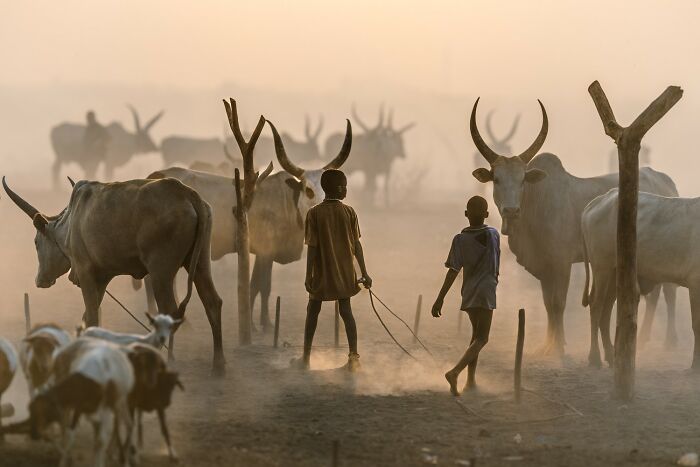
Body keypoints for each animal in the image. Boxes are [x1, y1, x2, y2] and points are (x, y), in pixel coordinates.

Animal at [29, 337, 135, 467]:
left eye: (43, 412)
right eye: (31, 410)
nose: (33, 434)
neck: (90, 381)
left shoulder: (105, 409)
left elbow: (101, 441)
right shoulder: (78, 406)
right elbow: (70, 435)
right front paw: (64, 461)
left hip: (120, 402)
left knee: (129, 426)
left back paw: (124, 460)